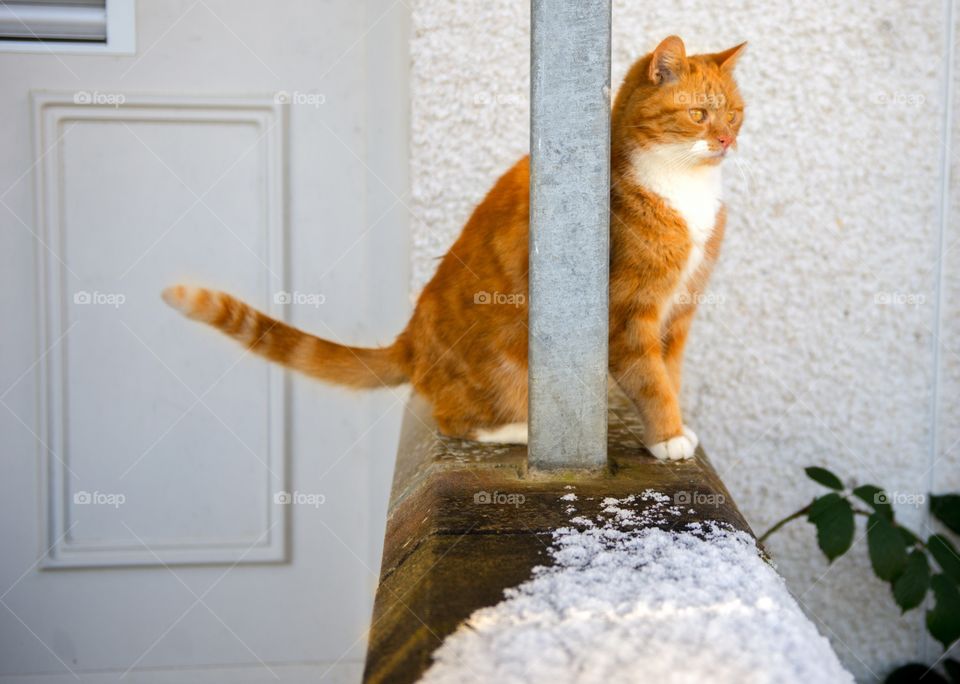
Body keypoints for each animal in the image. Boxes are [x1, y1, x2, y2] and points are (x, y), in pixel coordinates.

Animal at [165, 38, 748, 464]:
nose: (725, 141)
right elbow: (651, 381)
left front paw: (671, 431)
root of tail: (412, 338)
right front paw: (668, 436)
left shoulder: (679, 312)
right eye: (699, 115)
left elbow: (670, 375)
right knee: (453, 419)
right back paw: (518, 430)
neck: (685, 189)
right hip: (504, 368)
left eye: (736, 115)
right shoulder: (628, 315)